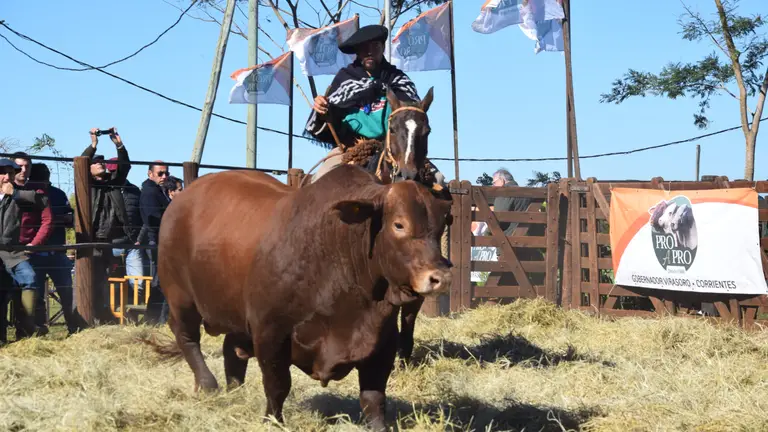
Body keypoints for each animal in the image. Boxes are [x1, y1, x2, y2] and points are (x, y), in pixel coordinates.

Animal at [153, 164, 453, 430]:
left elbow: (374, 397)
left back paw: (235, 391)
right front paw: (272, 421)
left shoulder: (383, 339)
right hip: (181, 297)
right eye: (399, 225)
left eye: (440, 227)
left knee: (232, 349)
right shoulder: (270, 332)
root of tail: (183, 199)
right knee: (186, 336)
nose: (440, 276)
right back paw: (208, 384)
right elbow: (277, 385)